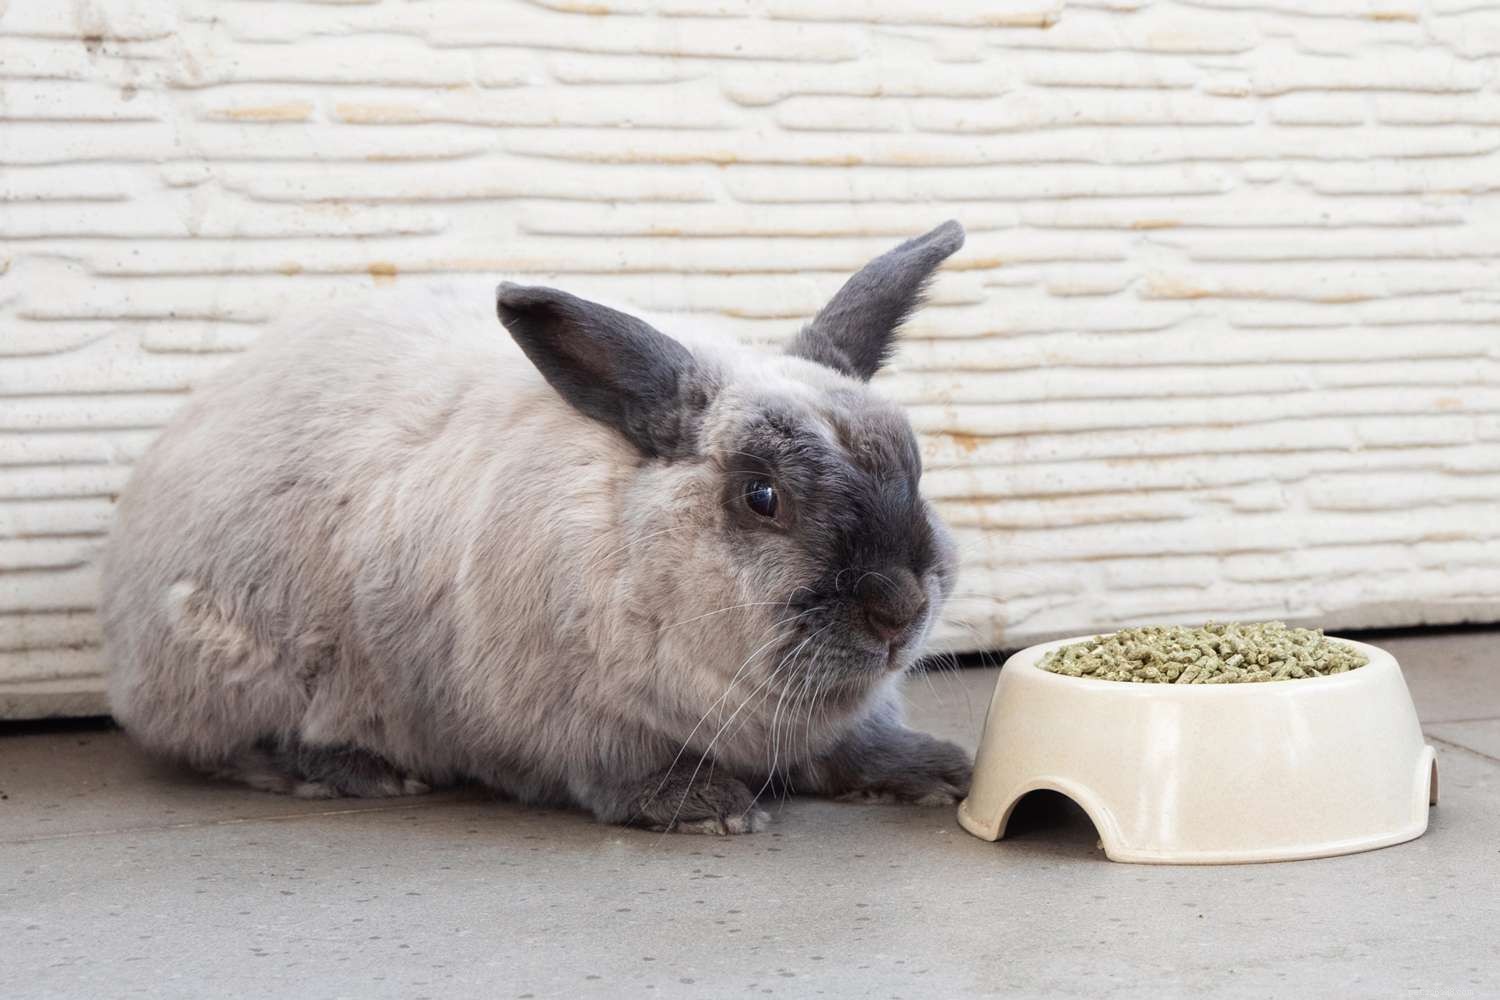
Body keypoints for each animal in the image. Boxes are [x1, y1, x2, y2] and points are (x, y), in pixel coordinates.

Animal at [100, 221, 974, 834]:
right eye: (762, 497)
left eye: (916, 466)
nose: (898, 612)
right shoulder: (578, 729)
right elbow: (619, 778)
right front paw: (707, 806)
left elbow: (854, 748)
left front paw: (939, 770)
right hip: (233, 664)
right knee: (229, 747)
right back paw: (356, 771)